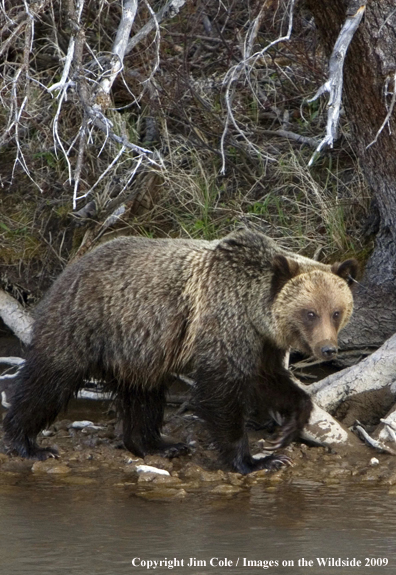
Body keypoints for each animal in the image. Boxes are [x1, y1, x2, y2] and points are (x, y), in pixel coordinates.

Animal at [1, 227, 358, 474]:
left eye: (336, 311)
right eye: (310, 313)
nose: (328, 349)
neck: (252, 307)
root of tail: (69, 267)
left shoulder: (260, 341)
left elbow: (267, 379)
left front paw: (286, 431)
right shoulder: (223, 322)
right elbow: (222, 390)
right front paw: (254, 461)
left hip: (138, 348)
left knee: (143, 395)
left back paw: (157, 444)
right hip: (87, 322)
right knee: (50, 379)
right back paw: (27, 443)